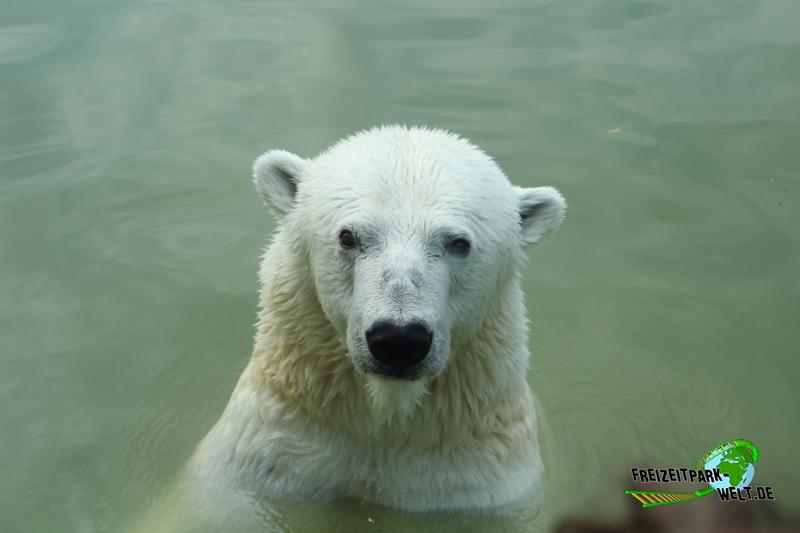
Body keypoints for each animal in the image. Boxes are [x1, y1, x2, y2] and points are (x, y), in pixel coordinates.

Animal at [188, 124, 564, 512]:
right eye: (347, 236)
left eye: (459, 243)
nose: (399, 339)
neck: (384, 422)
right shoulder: (273, 456)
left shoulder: (473, 480)